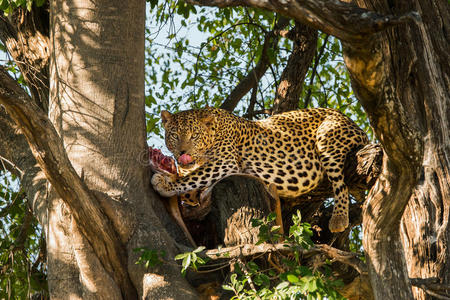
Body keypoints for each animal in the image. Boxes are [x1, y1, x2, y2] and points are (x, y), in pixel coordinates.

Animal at [152, 106, 370, 232]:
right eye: (174, 136)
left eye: (194, 136)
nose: (182, 153)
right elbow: (190, 185)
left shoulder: (225, 161)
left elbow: (194, 177)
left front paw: (165, 184)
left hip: (328, 138)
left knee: (340, 184)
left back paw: (339, 219)